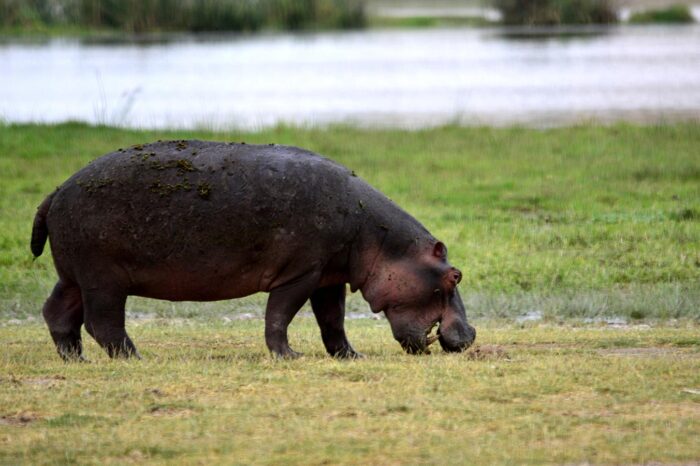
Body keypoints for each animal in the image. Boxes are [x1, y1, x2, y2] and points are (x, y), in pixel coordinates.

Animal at [31, 140, 476, 360]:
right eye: (454, 276)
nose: (470, 336)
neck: (379, 238)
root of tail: (56, 190)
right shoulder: (301, 273)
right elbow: (279, 315)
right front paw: (289, 356)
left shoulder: (328, 276)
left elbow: (332, 321)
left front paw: (352, 357)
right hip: (103, 279)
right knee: (103, 322)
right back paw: (134, 358)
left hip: (73, 275)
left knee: (57, 313)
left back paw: (75, 359)